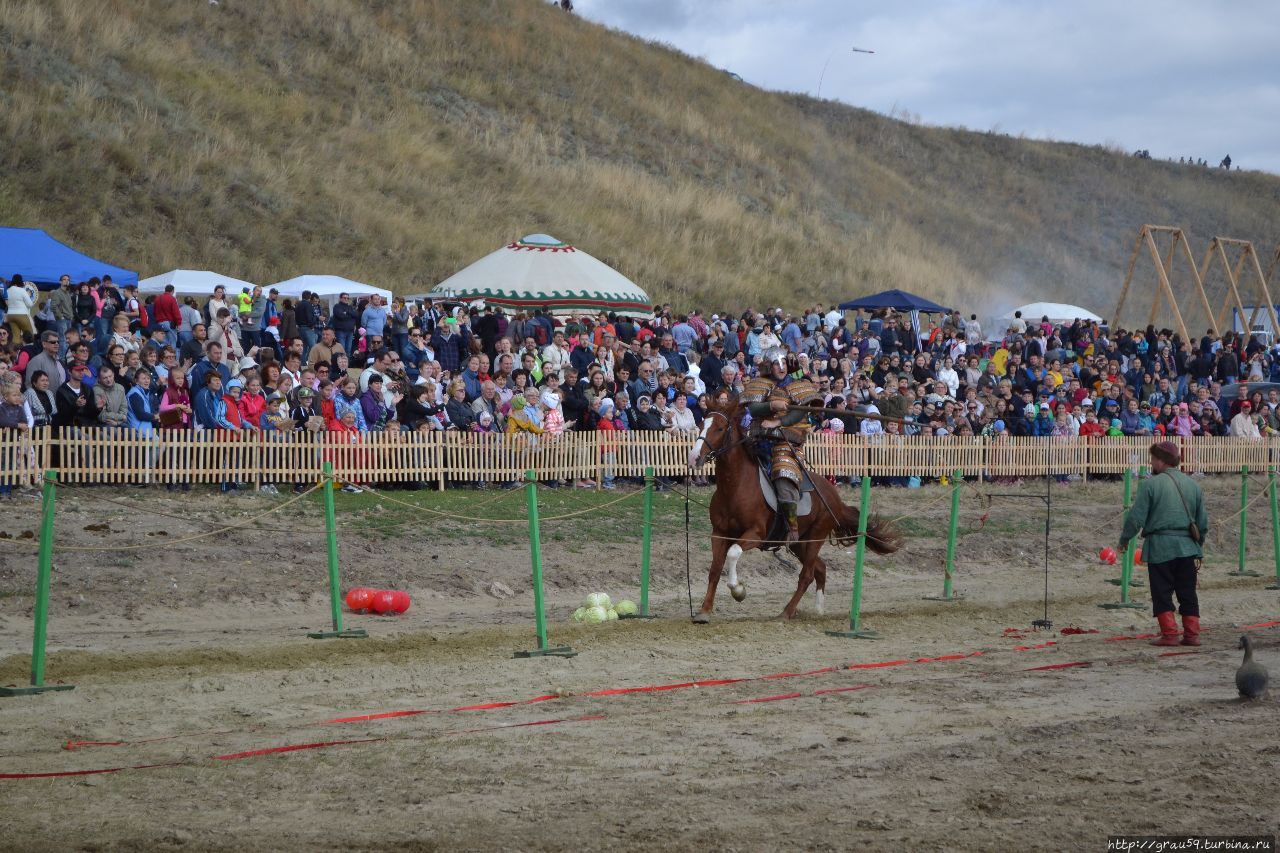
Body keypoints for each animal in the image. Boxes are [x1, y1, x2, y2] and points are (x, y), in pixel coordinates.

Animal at [691, 394, 901, 622]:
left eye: (720, 428)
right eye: (701, 425)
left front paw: (738, 590)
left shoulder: (755, 534)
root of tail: (835, 497)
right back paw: (818, 609)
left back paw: (787, 611)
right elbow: (714, 570)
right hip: (800, 543)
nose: (694, 457)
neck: (736, 486)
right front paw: (704, 611)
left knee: (807, 575)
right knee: (820, 568)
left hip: (816, 537)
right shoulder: (719, 534)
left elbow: (733, 553)